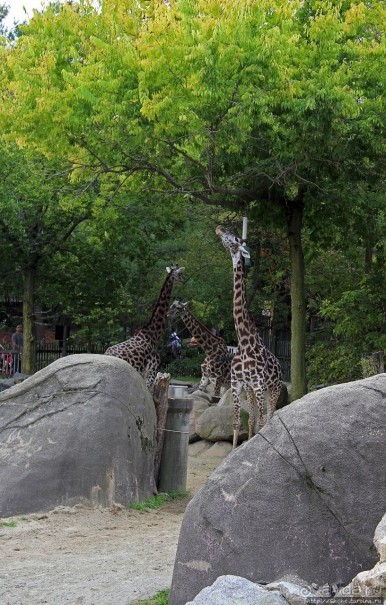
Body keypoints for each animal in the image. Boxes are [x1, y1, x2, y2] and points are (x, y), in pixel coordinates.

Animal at [216, 226, 282, 448]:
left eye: (236, 238)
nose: (219, 228)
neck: (244, 343)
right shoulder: (237, 383)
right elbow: (238, 422)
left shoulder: (259, 383)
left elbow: (262, 421)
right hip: (253, 390)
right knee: (254, 418)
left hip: (274, 388)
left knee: (268, 417)